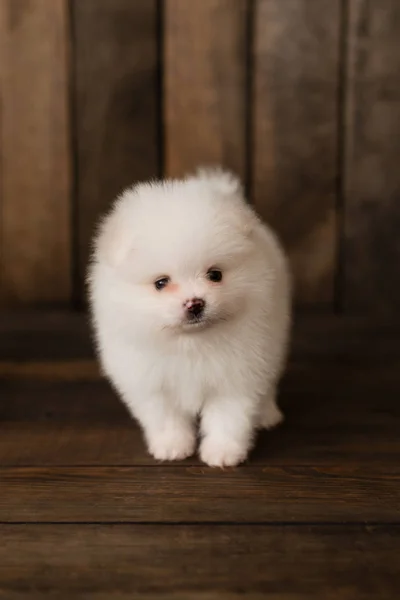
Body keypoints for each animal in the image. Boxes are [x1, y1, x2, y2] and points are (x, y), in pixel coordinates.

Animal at [87, 166, 292, 466]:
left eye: (215, 274)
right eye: (161, 283)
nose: (195, 304)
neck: (190, 342)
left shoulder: (237, 374)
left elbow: (229, 416)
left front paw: (222, 451)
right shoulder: (152, 382)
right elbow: (165, 417)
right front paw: (172, 446)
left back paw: (267, 414)